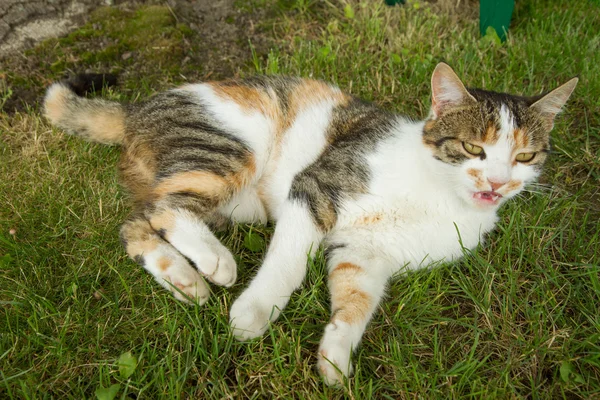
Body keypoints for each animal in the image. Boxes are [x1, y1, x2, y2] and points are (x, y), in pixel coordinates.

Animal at [42, 64, 576, 386]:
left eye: (525, 157)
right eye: (473, 149)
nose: (498, 183)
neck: (438, 195)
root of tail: (138, 109)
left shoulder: (367, 254)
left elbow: (357, 301)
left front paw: (336, 356)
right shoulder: (315, 188)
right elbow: (288, 262)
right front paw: (254, 313)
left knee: (137, 222)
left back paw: (185, 279)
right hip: (225, 151)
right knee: (163, 209)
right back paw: (214, 262)